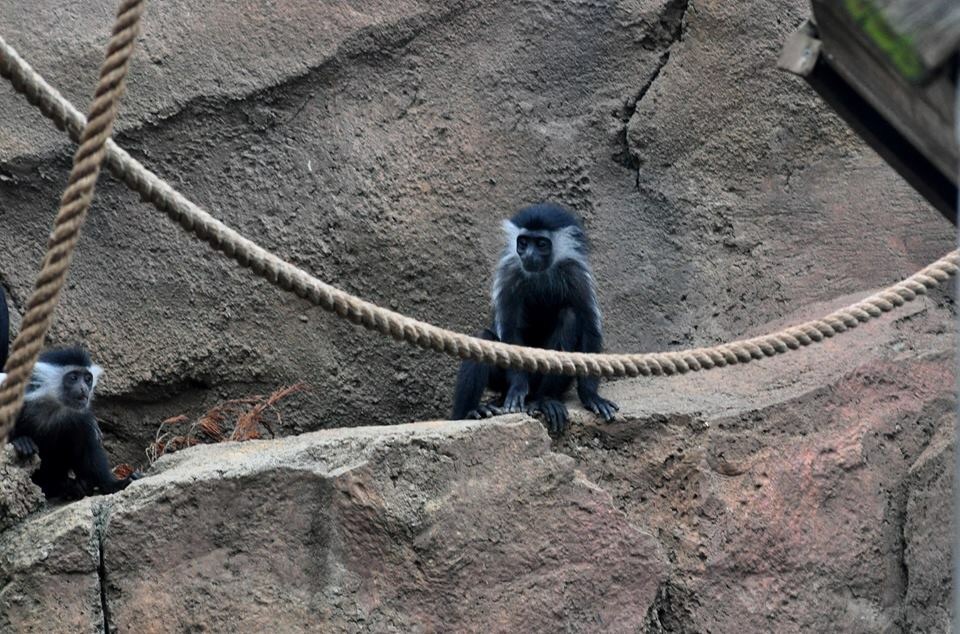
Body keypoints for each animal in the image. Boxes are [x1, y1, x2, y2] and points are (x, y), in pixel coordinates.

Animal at [8, 347, 141, 500]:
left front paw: (115, 484)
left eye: (88, 379)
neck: (53, 407)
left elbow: (89, 447)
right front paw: (20, 441)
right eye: (73, 378)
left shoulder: (80, 417)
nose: (84, 388)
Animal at [451, 203, 619, 434]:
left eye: (541, 243)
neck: (541, 273)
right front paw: (517, 390)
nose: (529, 255)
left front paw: (591, 396)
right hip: (501, 380)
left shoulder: (576, 275)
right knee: (483, 339)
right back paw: (471, 412)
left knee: (569, 317)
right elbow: (510, 332)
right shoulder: (510, 273)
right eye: (523, 242)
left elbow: (590, 329)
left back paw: (544, 400)